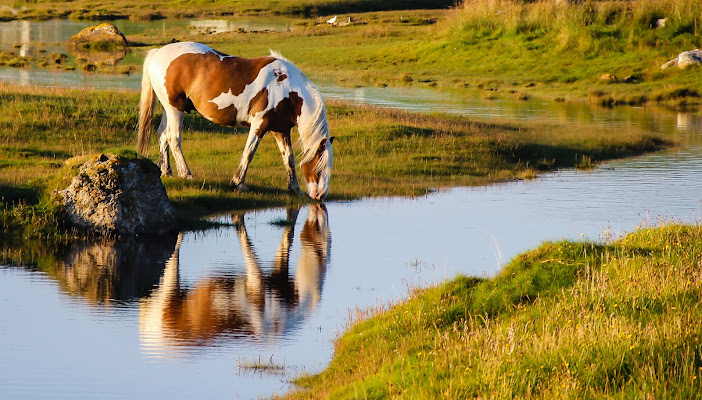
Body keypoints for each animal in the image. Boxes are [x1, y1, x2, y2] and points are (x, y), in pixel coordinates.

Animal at [139, 41, 336, 200]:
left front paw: (294, 188)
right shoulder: (259, 124)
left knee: (163, 135)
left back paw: (166, 171)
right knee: (174, 138)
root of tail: (158, 52)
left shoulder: (281, 129)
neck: (286, 88)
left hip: (170, 109)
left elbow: (289, 159)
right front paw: (238, 183)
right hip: (175, 109)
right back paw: (186, 174)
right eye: (319, 168)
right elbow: (249, 153)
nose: (320, 195)